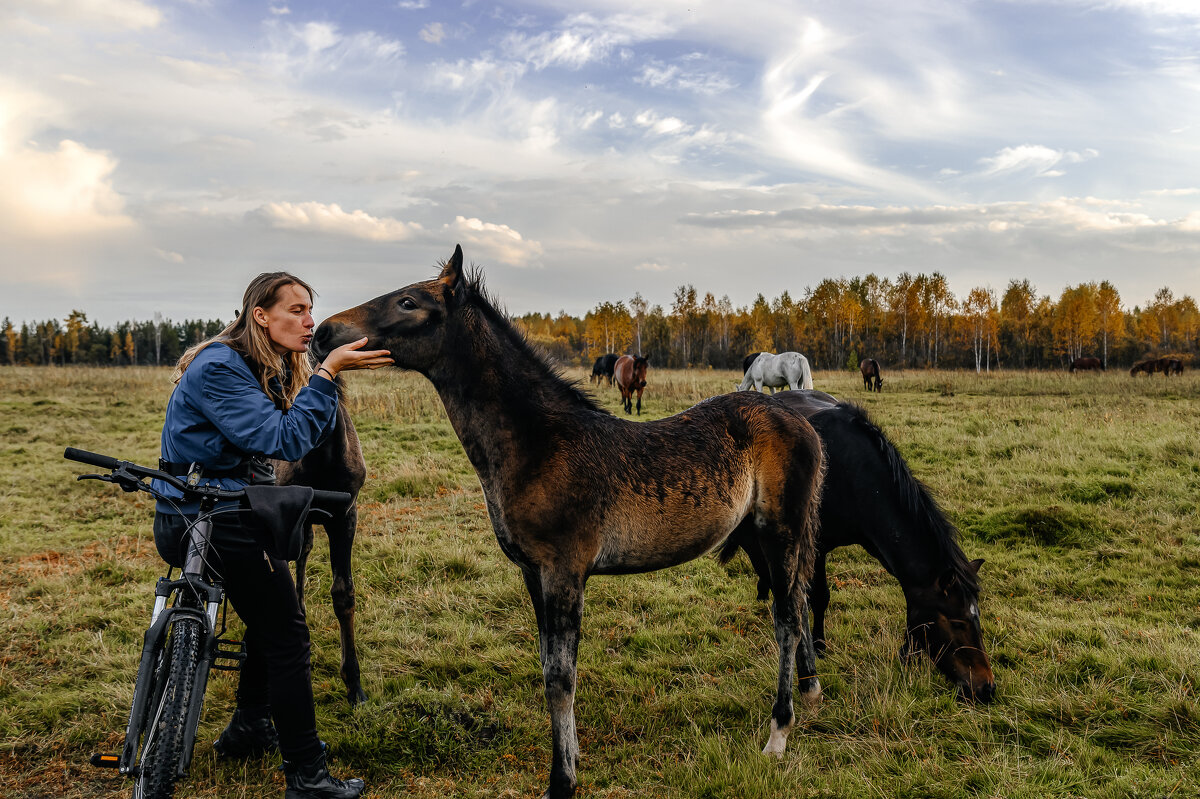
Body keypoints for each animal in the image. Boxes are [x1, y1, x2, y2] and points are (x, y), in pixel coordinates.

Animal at [314, 244, 830, 796]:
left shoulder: (563, 572)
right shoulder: (532, 573)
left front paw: (561, 779)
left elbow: (561, 677)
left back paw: (778, 732)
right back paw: (808, 692)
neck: (540, 444)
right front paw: (572, 757)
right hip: (756, 536)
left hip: (781, 533)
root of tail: (800, 420)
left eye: (408, 302)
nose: (323, 332)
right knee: (795, 606)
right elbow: (549, 665)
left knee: (786, 617)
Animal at [734, 388, 998, 700]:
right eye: (957, 622)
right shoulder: (816, 547)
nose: (986, 686)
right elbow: (821, 596)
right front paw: (820, 647)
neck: (852, 473)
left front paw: (907, 653)